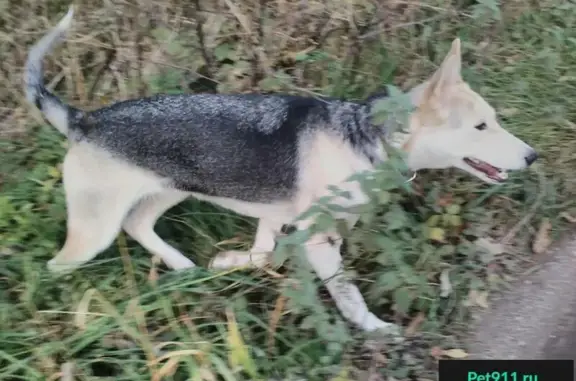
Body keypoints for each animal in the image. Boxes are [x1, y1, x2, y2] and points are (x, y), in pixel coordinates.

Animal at [22, 7, 536, 334]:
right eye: (481, 126)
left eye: (494, 120)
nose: (532, 156)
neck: (365, 135)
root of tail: (84, 121)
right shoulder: (320, 240)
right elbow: (348, 295)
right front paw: (376, 330)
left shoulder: (278, 219)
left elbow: (262, 254)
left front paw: (227, 264)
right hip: (95, 231)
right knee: (54, 267)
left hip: (172, 189)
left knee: (139, 224)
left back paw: (183, 268)